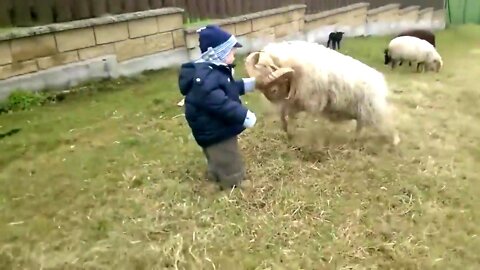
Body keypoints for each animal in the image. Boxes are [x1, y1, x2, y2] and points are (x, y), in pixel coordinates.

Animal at [246, 39, 400, 146]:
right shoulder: (292, 102)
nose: (271, 97)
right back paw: (355, 140)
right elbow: (285, 117)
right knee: (360, 126)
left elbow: (295, 118)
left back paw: (395, 141)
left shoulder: (310, 103)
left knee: (387, 122)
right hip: (362, 112)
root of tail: (380, 80)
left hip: (374, 109)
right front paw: (287, 134)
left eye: (273, 87)